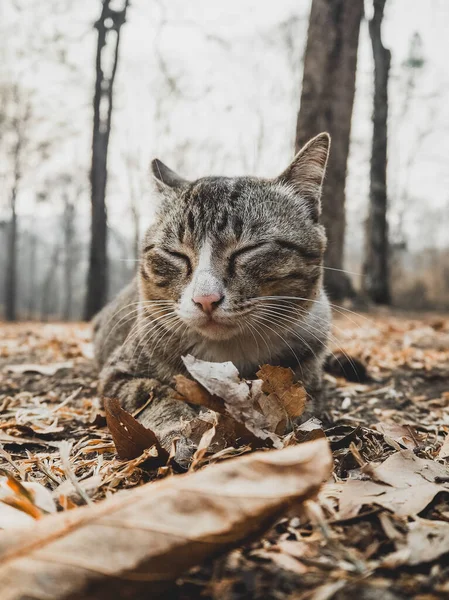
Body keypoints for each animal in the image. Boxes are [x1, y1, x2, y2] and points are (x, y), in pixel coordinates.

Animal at [93, 131, 330, 460]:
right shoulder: (117, 374)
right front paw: (178, 428)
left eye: (249, 249)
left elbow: (296, 403)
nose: (205, 299)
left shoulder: (307, 373)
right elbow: (151, 392)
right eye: (175, 254)